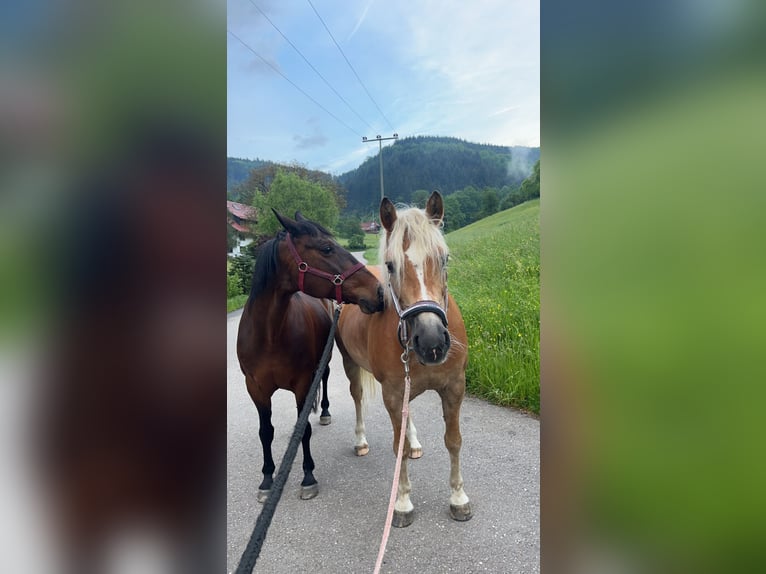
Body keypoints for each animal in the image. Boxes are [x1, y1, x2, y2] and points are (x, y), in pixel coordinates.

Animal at [237, 212, 384, 504]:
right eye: (326, 249)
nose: (379, 291)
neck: (270, 334)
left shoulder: (303, 384)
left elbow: (302, 429)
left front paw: (308, 477)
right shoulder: (255, 388)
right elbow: (265, 432)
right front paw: (267, 479)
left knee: (324, 379)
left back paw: (324, 411)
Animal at [338, 191, 474, 528]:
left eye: (444, 258)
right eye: (391, 265)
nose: (432, 341)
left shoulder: (454, 387)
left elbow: (454, 440)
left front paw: (458, 498)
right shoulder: (392, 392)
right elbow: (395, 447)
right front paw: (401, 503)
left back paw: (412, 442)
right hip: (350, 365)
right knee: (357, 397)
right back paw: (360, 441)